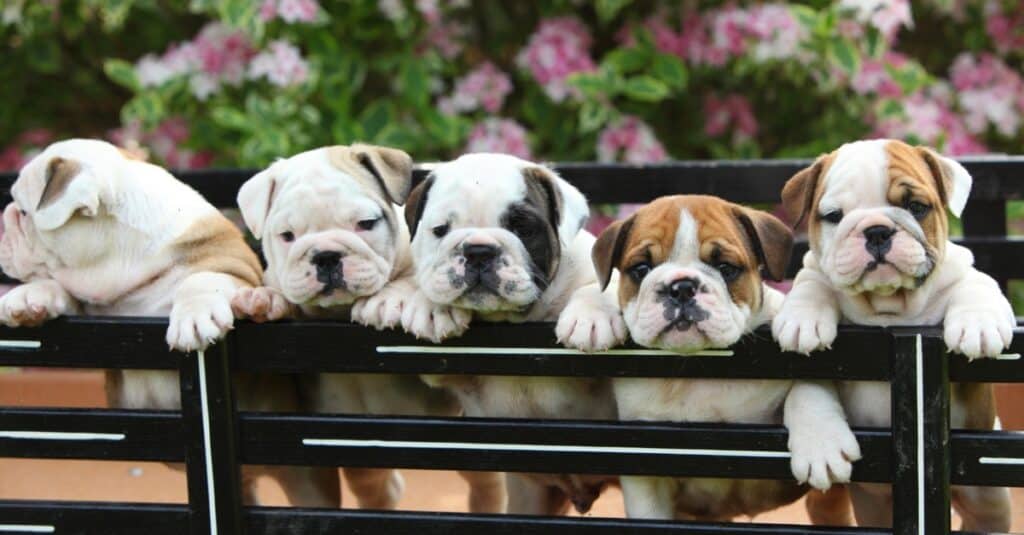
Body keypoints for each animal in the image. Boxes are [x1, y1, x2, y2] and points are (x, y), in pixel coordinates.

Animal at [0, 136, 339, 504]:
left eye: (22, 212)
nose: (3, 221)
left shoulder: (236, 271)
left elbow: (203, 279)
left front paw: (197, 315)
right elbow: (61, 290)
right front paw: (28, 297)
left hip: (307, 479)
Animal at [230, 143, 505, 510]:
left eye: (366, 223)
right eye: (287, 236)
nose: (326, 255)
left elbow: (416, 277)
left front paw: (409, 303)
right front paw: (261, 298)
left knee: (486, 479)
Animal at [372, 151, 618, 514]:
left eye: (522, 228)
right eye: (441, 230)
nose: (478, 250)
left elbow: (605, 285)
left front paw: (592, 315)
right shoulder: (444, 376)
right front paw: (432, 307)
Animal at [573, 192, 860, 520]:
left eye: (726, 268)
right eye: (641, 269)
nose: (682, 287)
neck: (700, 366)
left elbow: (807, 385)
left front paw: (820, 443)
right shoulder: (647, 476)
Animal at [770, 138, 1011, 528]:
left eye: (916, 207)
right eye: (834, 216)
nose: (877, 230)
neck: (888, 307)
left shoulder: (964, 274)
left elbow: (975, 285)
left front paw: (979, 324)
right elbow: (807, 377)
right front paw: (802, 316)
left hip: (989, 499)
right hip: (873, 504)